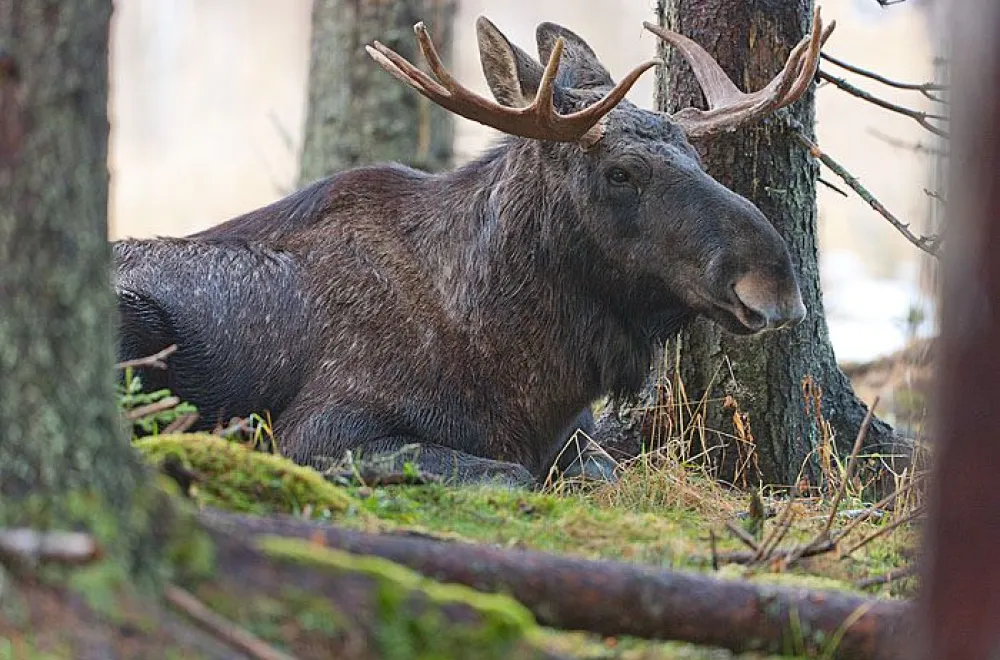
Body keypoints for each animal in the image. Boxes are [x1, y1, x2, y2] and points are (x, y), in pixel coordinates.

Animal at [117, 9, 832, 484]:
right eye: (620, 173)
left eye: (696, 155)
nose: (775, 283)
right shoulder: (319, 430)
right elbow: (510, 474)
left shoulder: (580, 438)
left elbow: (599, 473)